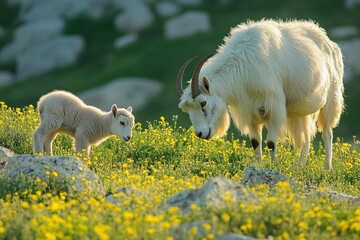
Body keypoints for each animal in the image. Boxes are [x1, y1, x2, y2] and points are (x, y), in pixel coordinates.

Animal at [176, 19, 344, 169]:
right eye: (187, 109)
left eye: (203, 102)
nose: (200, 133)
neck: (243, 65)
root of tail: (330, 43)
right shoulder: (249, 111)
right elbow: (255, 142)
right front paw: (258, 166)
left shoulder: (274, 108)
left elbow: (271, 142)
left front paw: (274, 167)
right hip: (301, 112)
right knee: (306, 138)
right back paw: (300, 167)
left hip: (331, 99)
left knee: (327, 133)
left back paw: (327, 167)